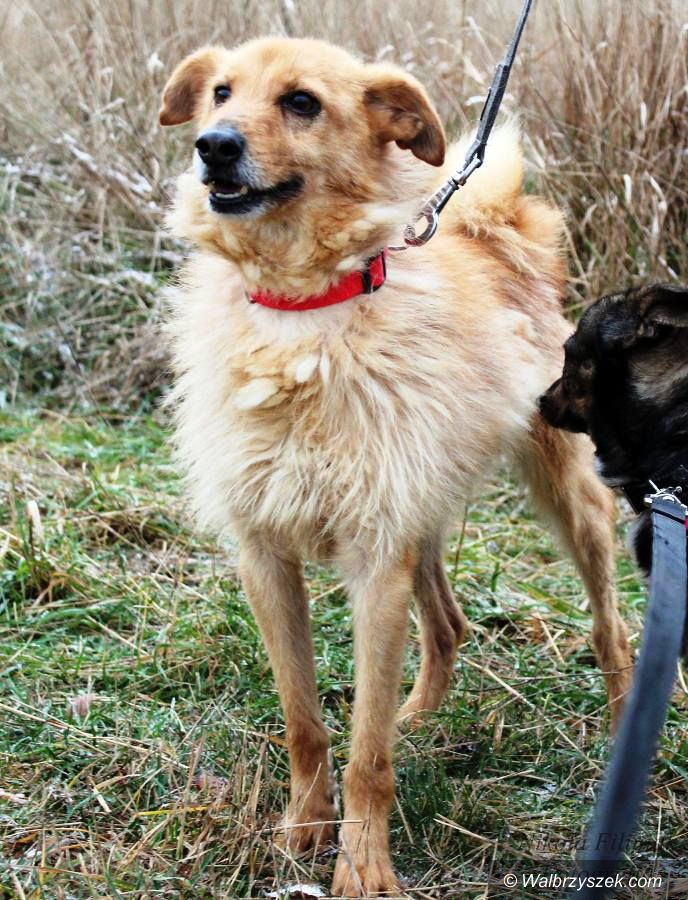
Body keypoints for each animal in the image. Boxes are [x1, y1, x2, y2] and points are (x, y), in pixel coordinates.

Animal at [159, 37, 633, 897]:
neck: (303, 316)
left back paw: (621, 734)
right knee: (447, 624)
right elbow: (306, 723)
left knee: (613, 629)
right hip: (421, 512)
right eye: (220, 94)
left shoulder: (376, 562)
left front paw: (363, 865)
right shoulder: (265, 555)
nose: (213, 147)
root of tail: (500, 235)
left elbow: (366, 757)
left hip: (571, 503)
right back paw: (419, 716)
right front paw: (304, 830)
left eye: (302, 102)